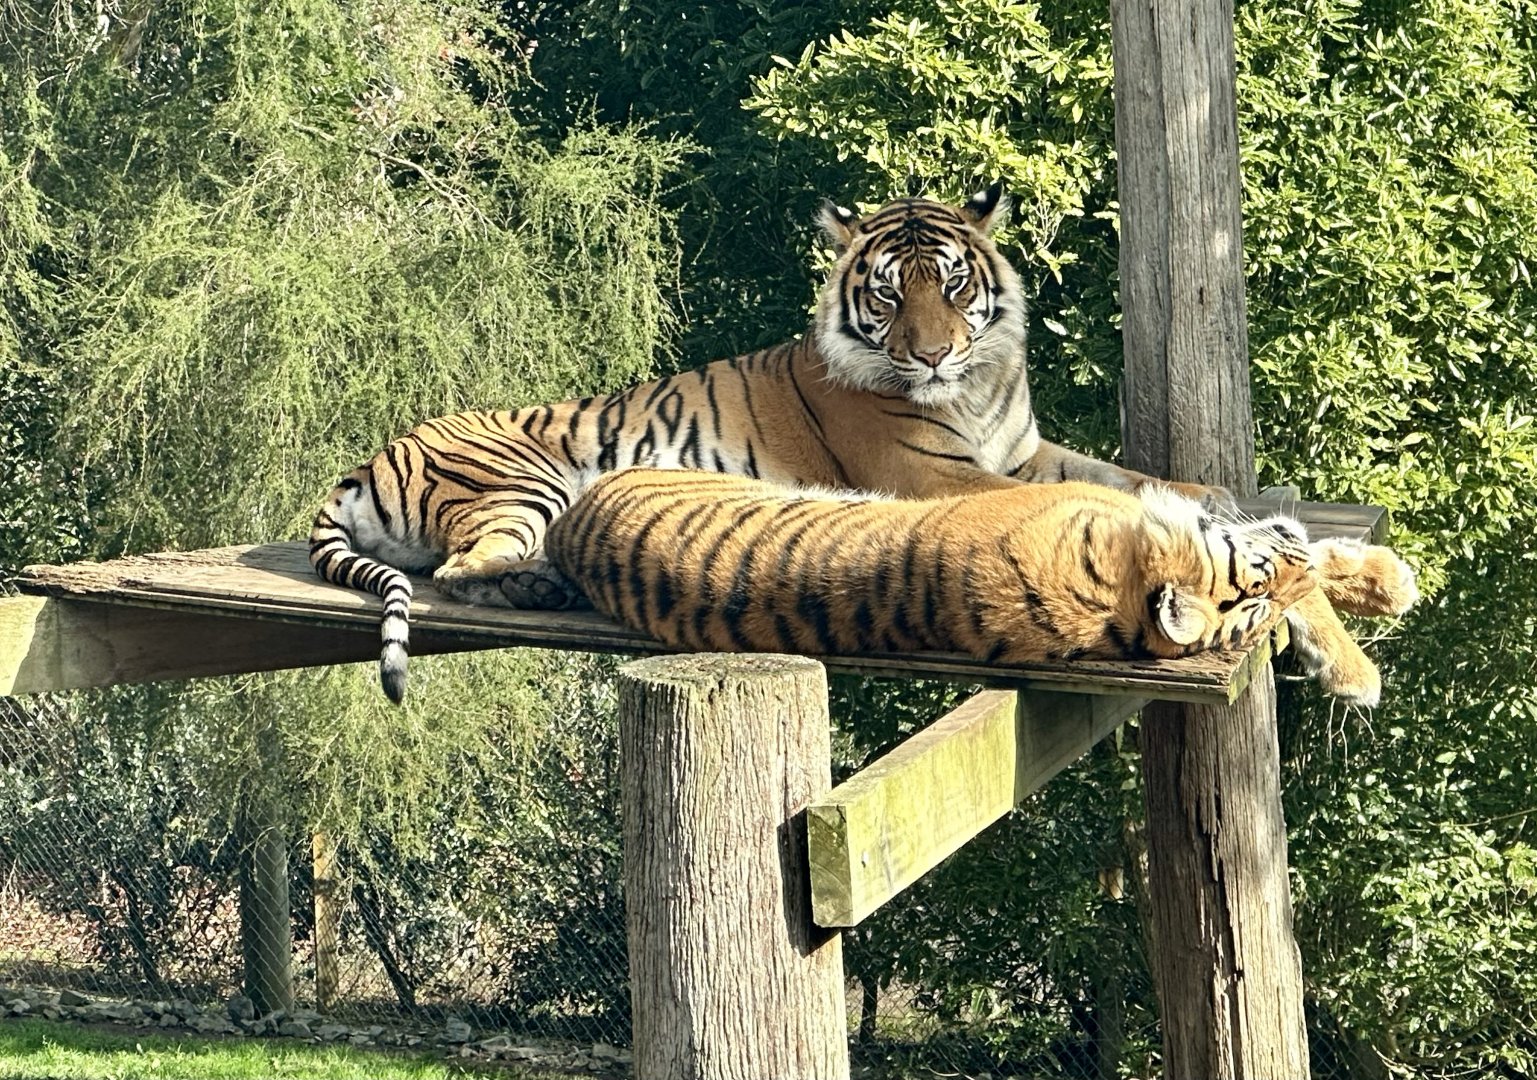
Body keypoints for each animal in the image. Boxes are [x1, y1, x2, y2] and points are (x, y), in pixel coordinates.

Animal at [310, 184, 1221, 702]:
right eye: (889, 294)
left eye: (954, 283)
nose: (931, 354)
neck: (975, 383)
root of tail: (365, 461)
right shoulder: (931, 471)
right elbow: (1076, 493)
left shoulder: (1021, 447)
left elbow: (1122, 473)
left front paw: (1206, 495)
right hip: (521, 477)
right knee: (461, 570)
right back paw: (542, 587)